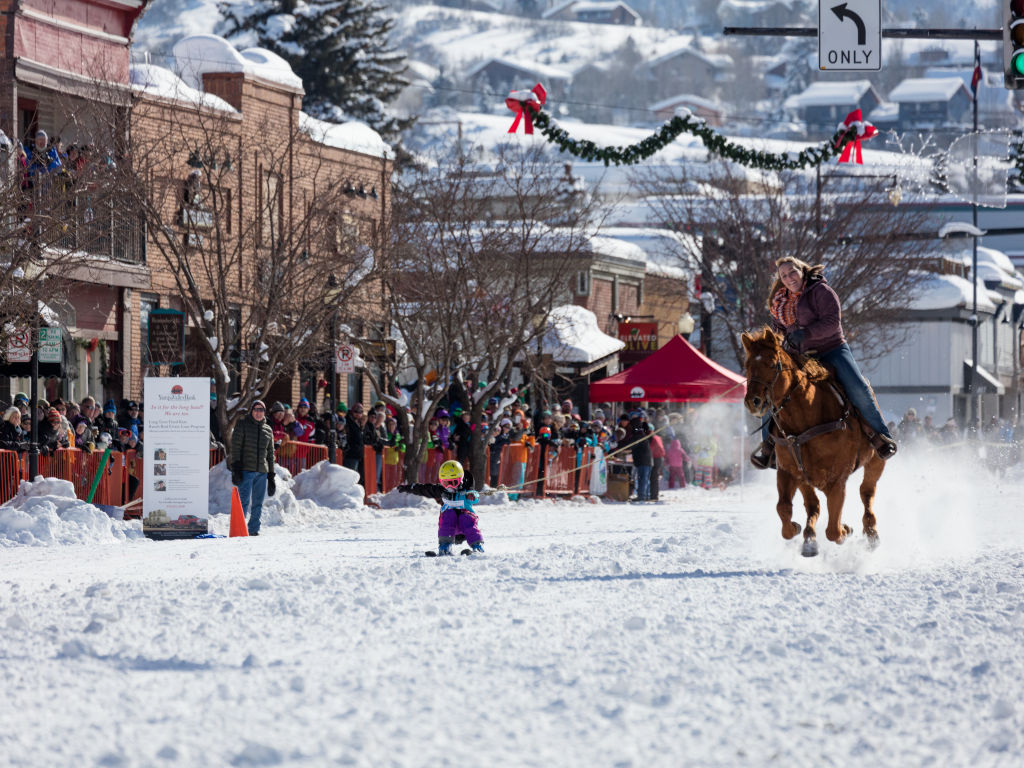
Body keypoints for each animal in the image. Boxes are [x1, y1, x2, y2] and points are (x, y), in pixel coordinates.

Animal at [741, 327, 884, 557]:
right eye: (747, 366)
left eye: (772, 364)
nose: (753, 402)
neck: (806, 418)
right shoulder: (789, 471)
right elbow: (784, 507)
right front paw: (797, 529)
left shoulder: (837, 479)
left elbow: (834, 530)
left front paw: (845, 529)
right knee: (813, 505)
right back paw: (809, 538)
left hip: (876, 461)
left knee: (867, 492)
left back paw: (871, 533)